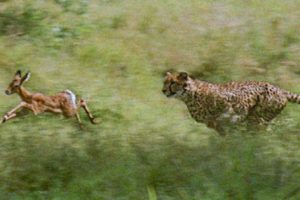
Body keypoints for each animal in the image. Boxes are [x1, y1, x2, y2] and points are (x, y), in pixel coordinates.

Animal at [162, 71, 300, 135]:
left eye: (173, 82)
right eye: (164, 82)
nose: (163, 90)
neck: (189, 95)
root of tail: (280, 89)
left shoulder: (234, 108)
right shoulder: (213, 124)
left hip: (258, 118)